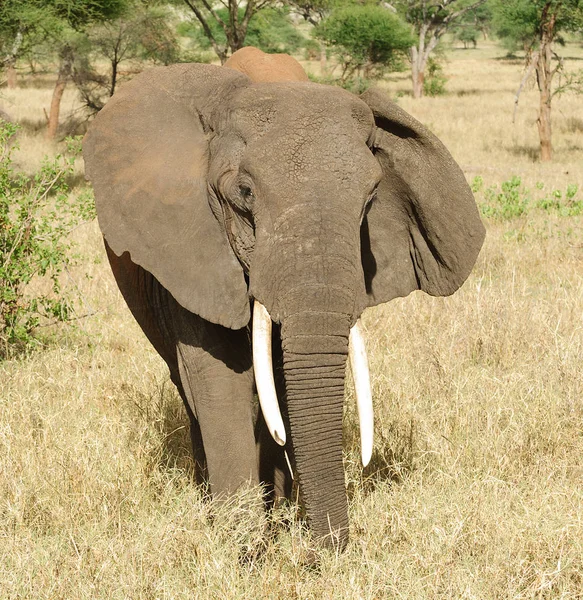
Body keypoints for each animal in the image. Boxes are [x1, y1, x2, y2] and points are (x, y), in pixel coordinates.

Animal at [81, 47, 484, 552]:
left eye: (370, 199)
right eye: (244, 194)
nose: (326, 553)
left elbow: (285, 383)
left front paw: (277, 528)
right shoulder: (191, 248)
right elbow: (219, 380)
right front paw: (241, 549)